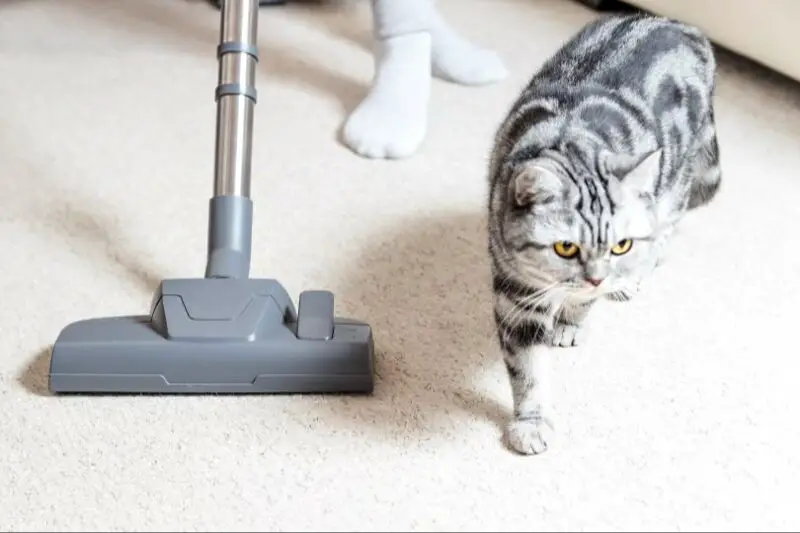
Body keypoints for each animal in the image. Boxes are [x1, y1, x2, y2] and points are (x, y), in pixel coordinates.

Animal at [484, 12, 720, 454]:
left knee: (666, 226)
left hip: (675, 180)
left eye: (620, 245)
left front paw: (573, 322)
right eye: (565, 247)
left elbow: (582, 306)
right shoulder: (516, 293)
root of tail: (679, 23)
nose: (597, 278)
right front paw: (531, 421)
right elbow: (528, 369)